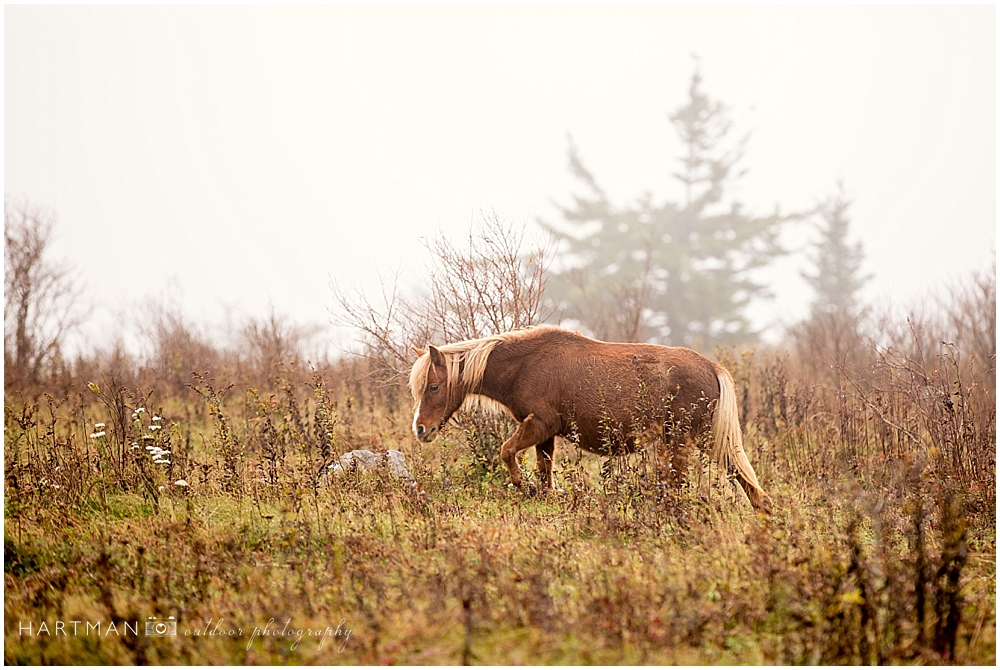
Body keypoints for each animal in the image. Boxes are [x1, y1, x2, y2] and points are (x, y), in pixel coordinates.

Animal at [410, 328, 768, 512]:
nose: (421, 429)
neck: (526, 364)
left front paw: (520, 483)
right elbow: (544, 471)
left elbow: (506, 451)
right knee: (742, 478)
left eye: (434, 386)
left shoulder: (540, 424)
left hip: (680, 441)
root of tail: (713, 367)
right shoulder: (544, 435)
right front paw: (543, 495)